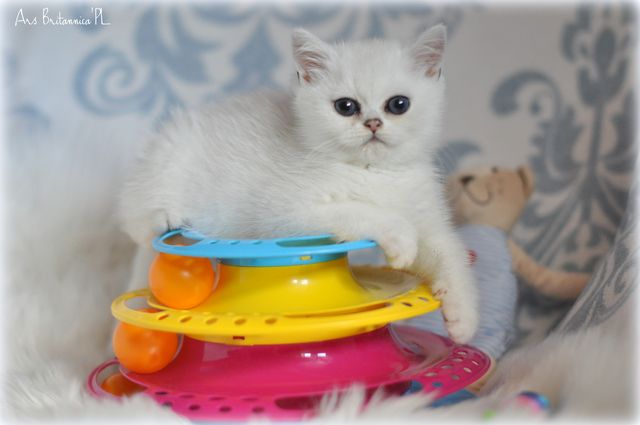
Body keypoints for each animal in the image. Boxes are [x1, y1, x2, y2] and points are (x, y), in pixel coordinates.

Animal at [118, 25, 478, 343]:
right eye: (345, 106)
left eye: (398, 104)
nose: (373, 123)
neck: (372, 172)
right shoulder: (283, 215)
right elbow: (361, 211)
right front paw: (401, 240)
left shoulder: (427, 217)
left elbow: (449, 251)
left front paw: (463, 318)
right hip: (167, 162)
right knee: (136, 222)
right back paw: (163, 217)